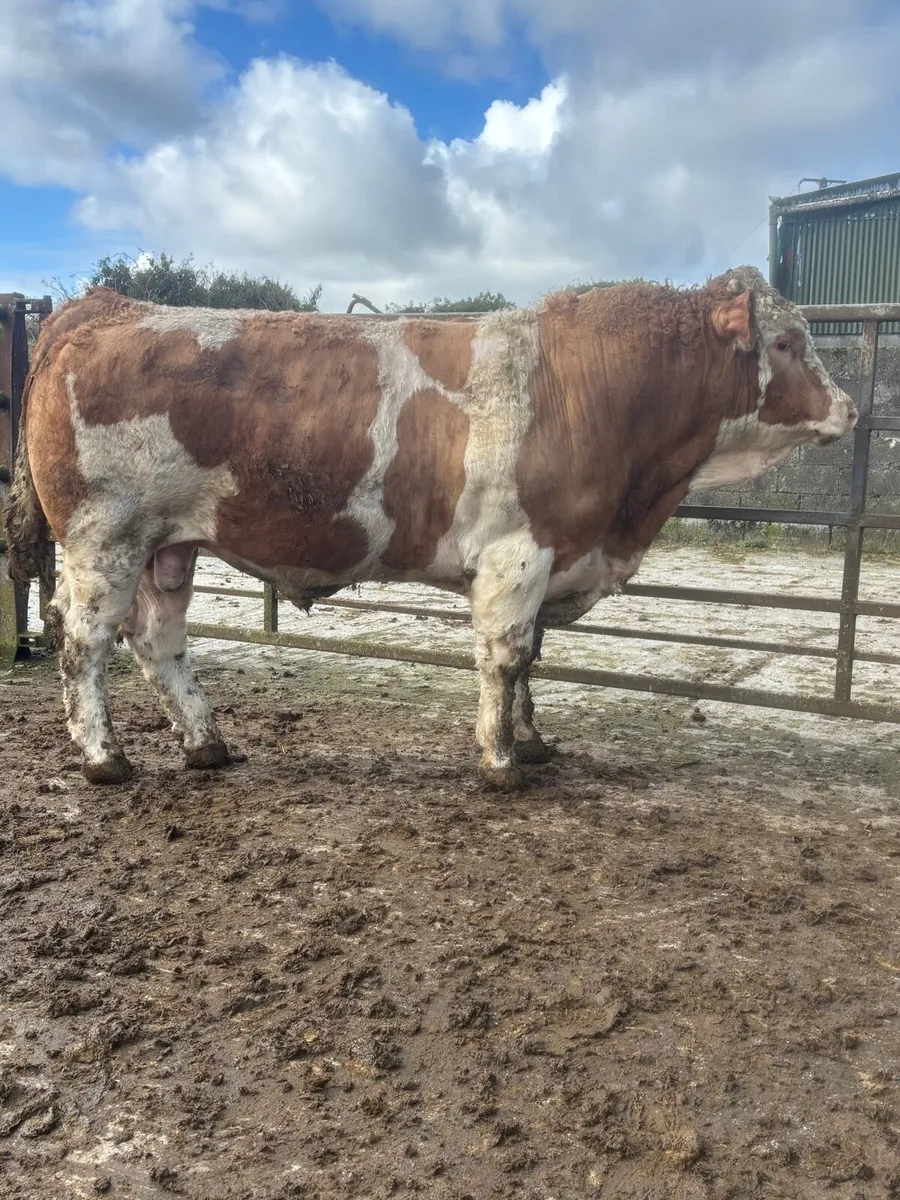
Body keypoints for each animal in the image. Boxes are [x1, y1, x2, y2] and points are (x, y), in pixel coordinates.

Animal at [4, 268, 856, 789]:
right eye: (786, 344)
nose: (849, 409)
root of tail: (107, 306)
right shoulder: (519, 554)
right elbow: (506, 658)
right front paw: (501, 761)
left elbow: (531, 659)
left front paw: (531, 742)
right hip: (104, 540)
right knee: (84, 641)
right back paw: (105, 757)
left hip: (168, 548)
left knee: (158, 641)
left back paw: (207, 744)